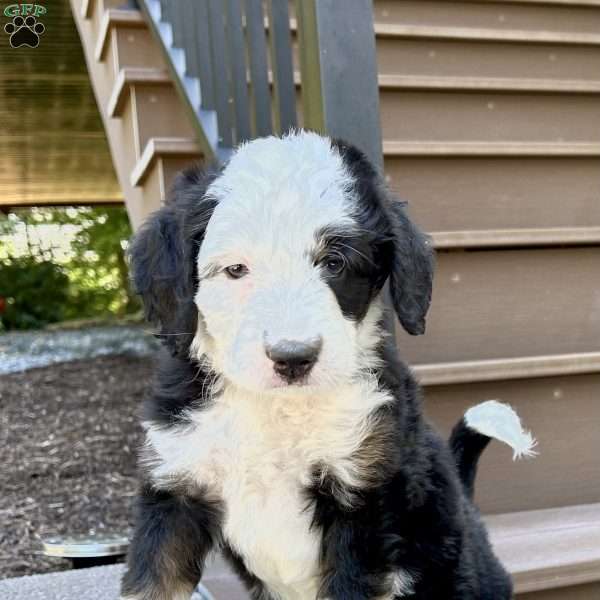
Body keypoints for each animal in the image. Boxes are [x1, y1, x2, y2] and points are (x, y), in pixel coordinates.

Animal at [122, 132, 536, 600]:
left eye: (334, 263)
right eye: (236, 269)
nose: (293, 357)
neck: (275, 410)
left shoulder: (365, 504)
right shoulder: (175, 491)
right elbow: (153, 581)